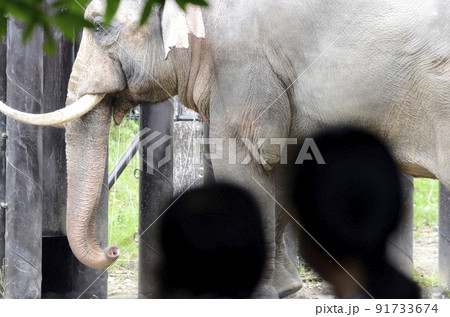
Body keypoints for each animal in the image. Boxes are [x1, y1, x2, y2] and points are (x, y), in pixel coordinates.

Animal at [0, 0, 448, 296]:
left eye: (96, 25)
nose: (113, 249)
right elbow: (284, 165)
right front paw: (285, 290)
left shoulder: (241, 62)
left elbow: (244, 159)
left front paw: (256, 294)